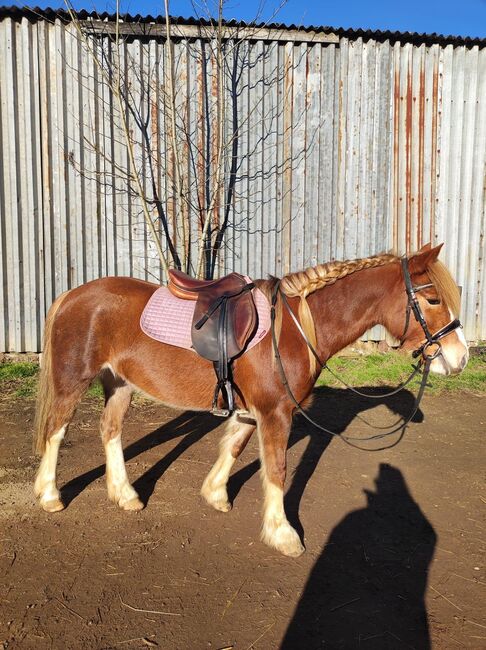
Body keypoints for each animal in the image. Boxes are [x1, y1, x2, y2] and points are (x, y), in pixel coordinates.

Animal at [33, 240, 468, 556]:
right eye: (433, 299)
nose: (461, 358)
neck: (295, 328)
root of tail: (73, 295)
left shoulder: (252, 410)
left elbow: (234, 448)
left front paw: (215, 494)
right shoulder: (276, 412)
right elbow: (276, 469)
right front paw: (283, 533)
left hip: (119, 383)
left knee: (110, 431)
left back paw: (125, 495)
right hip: (74, 381)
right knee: (56, 430)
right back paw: (50, 495)